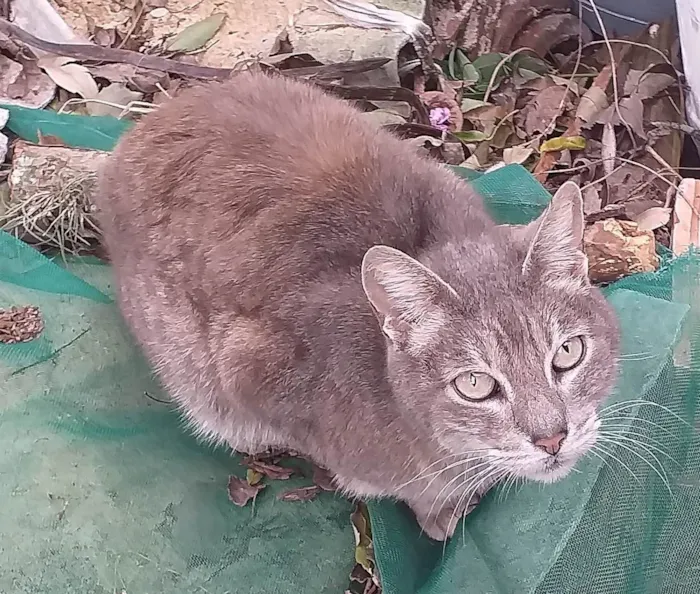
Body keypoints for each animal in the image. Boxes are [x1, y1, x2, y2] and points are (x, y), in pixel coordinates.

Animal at [95, 70, 620, 540]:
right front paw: (440, 510)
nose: (552, 439)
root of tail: (132, 136)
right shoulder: (246, 368)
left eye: (568, 353)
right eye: (474, 385)